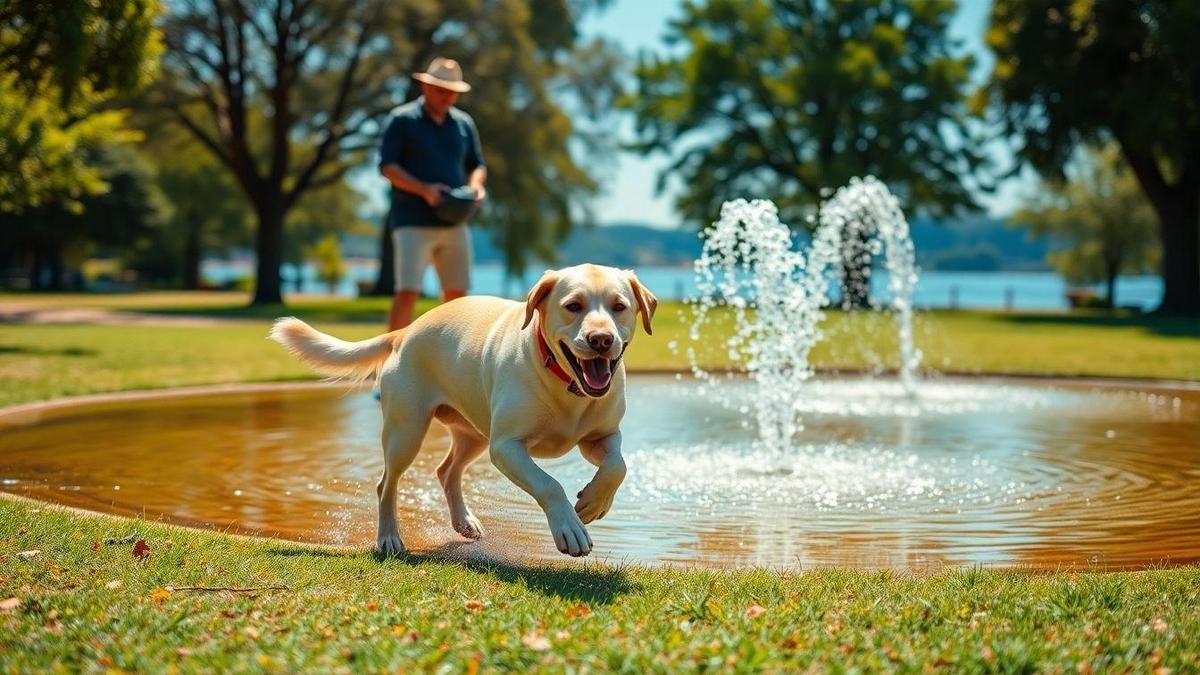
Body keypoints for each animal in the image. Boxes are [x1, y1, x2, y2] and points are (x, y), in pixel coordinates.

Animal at [270, 265, 657, 554]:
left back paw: (464, 522)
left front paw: (594, 502)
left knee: (446, 471)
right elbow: (549, 484)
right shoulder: (506, 447)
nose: (601, 340)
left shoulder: (603, 436)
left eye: (619, 306)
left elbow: (617, 465)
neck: (565, 382)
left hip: (473, 434)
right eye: (573, 305)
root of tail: (404, 331)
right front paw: (569, 527)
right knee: (386, 484)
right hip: (407, 431)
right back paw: (389, 538)